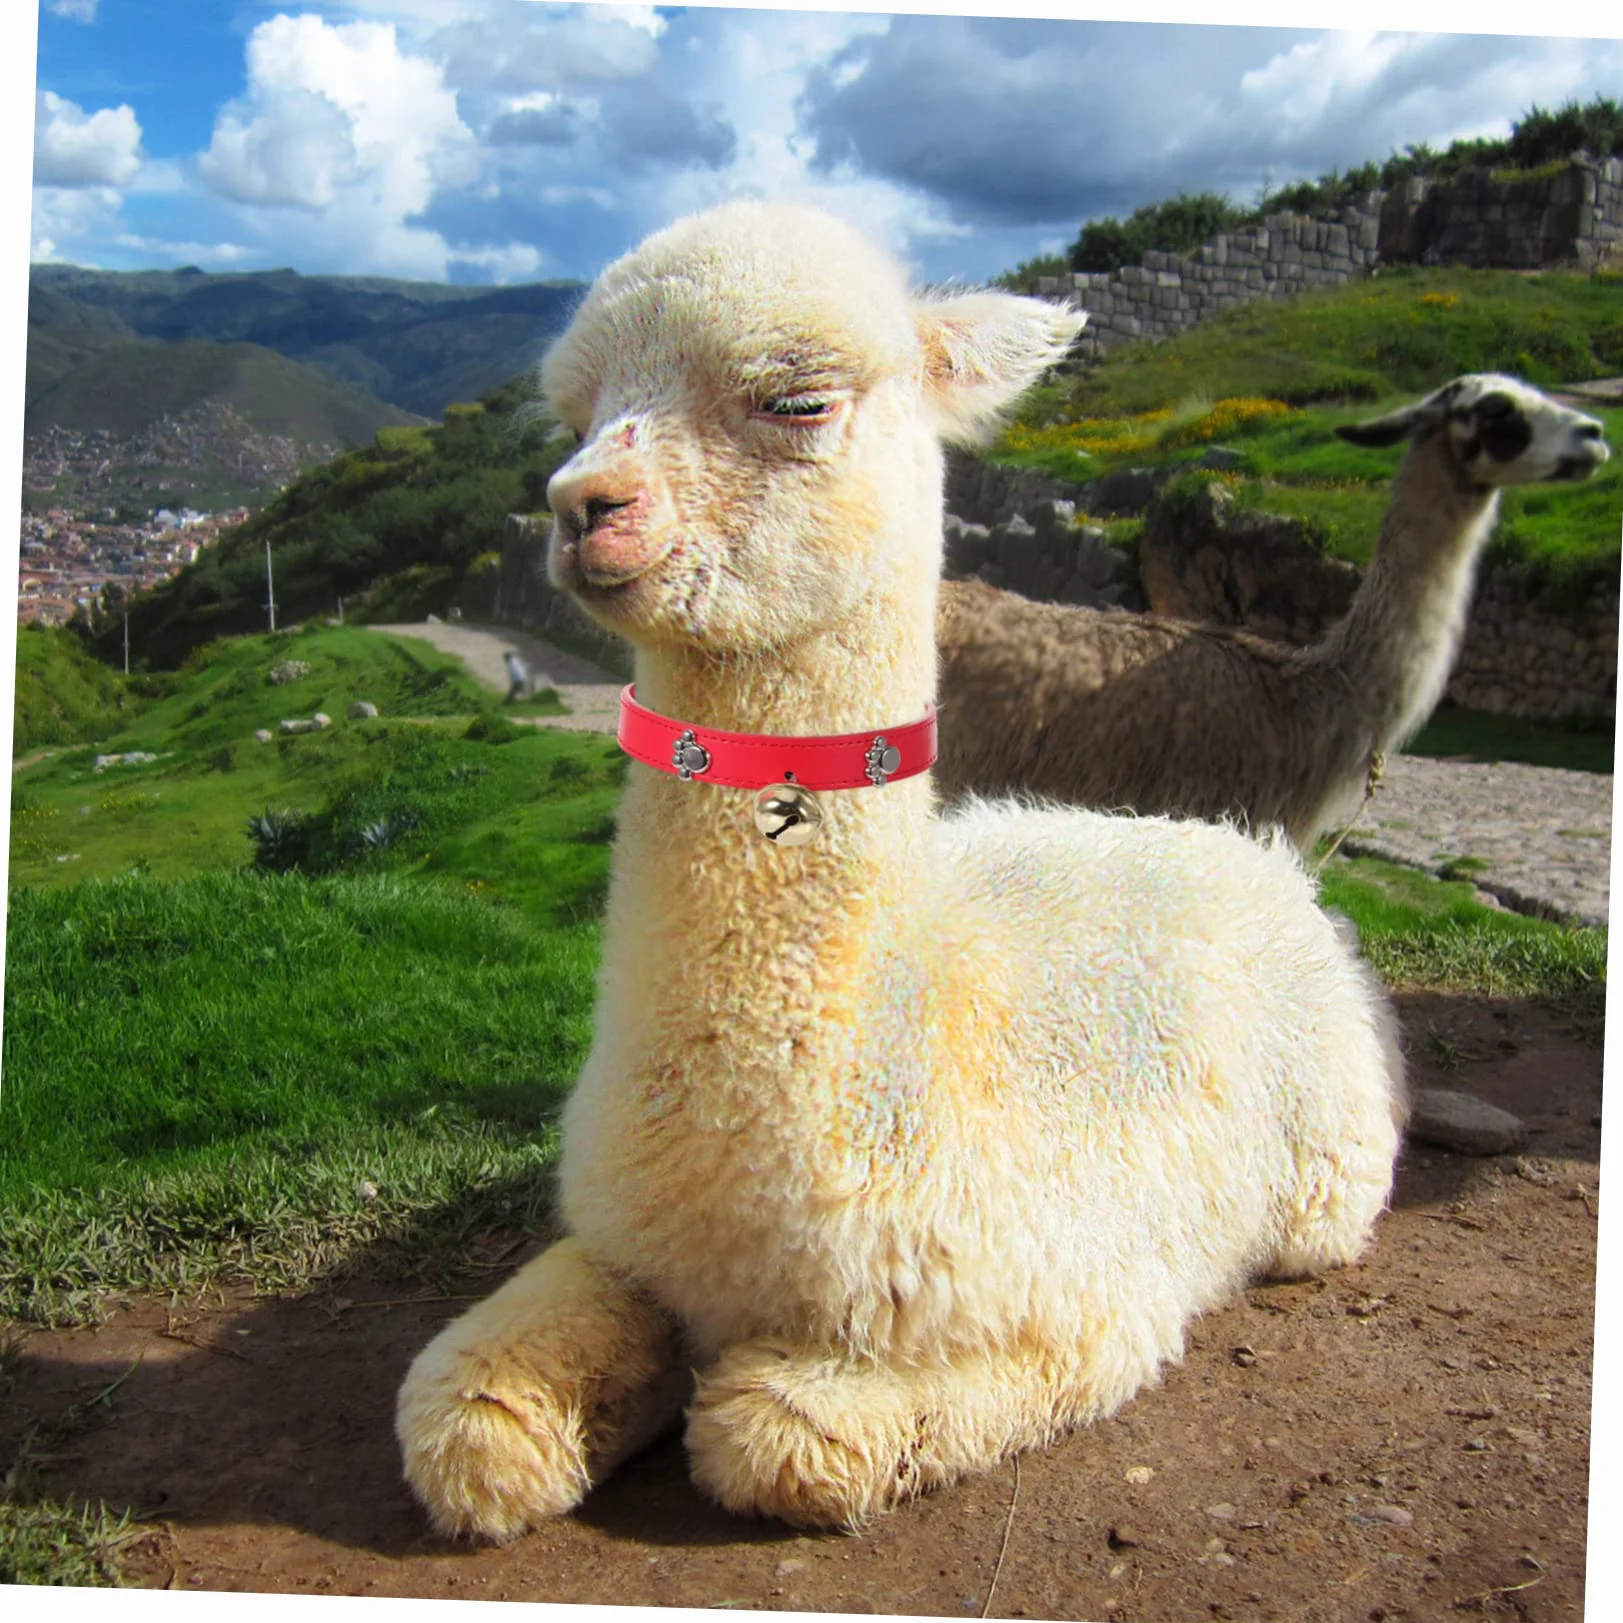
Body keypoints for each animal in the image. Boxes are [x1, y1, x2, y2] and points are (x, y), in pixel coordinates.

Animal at [395, 201, 1405, 1540]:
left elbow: (779, 1432)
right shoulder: (623, 1241)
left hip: (1327, 1169)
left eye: (798, 399)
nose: (580, 506)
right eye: (577, 413)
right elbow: (471, 1416)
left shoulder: (1075, 1298)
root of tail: (1236, 847)